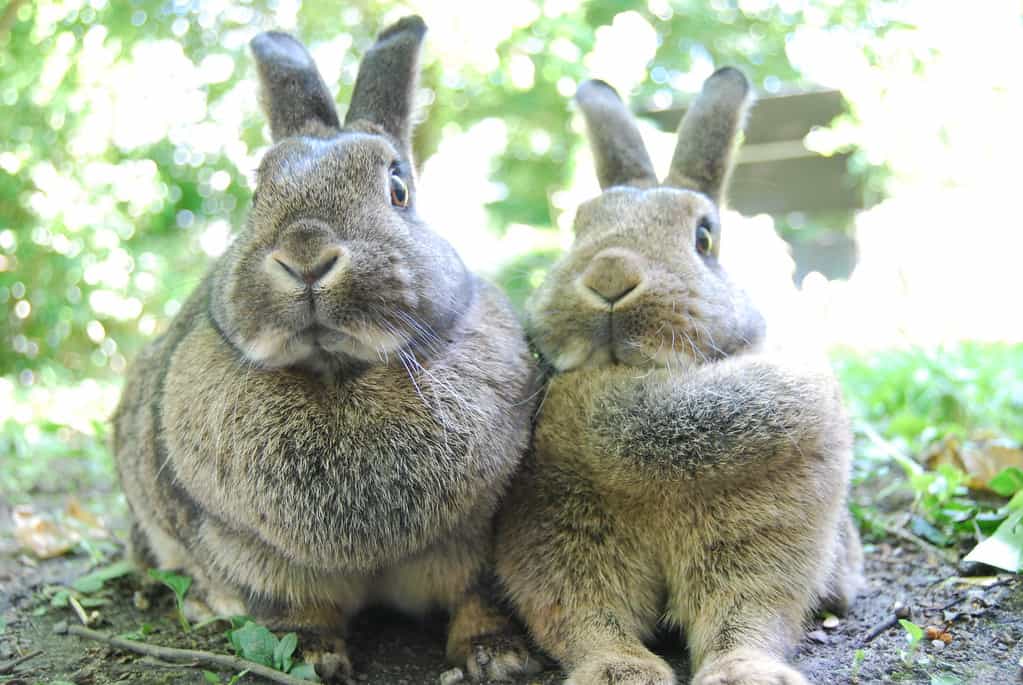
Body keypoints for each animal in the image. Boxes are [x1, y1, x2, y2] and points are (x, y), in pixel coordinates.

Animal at [113, 16, 541, 683]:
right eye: (256, 193)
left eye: (398, 187)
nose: (306, 255)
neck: (339, 373)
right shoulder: (250, 555)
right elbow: (294, 608)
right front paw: (311, 656)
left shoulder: (484, 539)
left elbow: (479, 597)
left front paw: (497, 657)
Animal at [494, 67, 863, 685]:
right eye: (578, 228)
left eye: (704, 238)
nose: (609, 273)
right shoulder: (556, 534)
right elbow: (585, 617)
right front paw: (619, 672)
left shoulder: (766, 533)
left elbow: (746, 613)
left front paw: (745, 673)